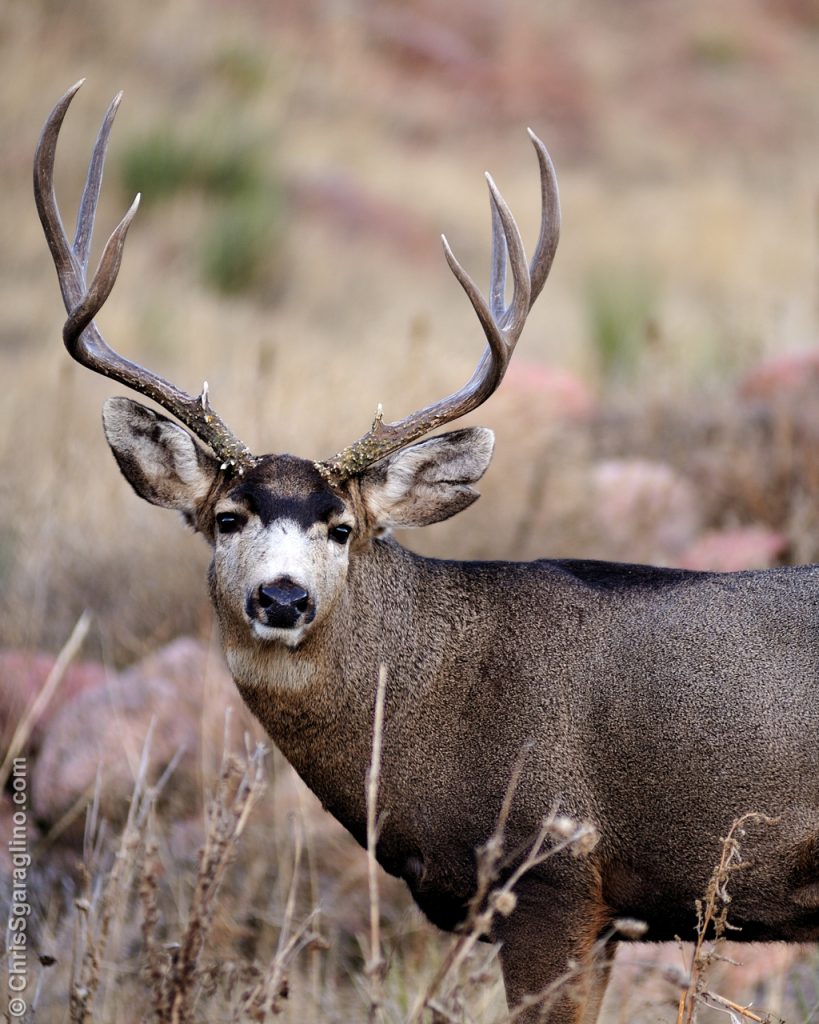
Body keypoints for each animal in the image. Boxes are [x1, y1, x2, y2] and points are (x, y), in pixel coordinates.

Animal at [35, 81, 819, 1024]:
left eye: (343, 527)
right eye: (227, 516)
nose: (283, 598)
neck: (430, 706)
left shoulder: (551, 871)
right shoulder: (598, 917)